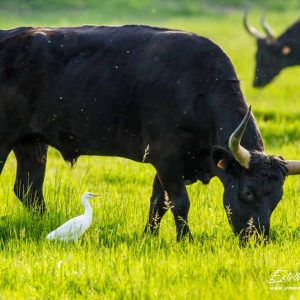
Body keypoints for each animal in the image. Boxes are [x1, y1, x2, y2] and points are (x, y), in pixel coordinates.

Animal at [0, 25, 300, 241]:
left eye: (277, 196)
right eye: (248, 192)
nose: (258, 239)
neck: (197, 89)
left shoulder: (173, 164)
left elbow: (159, 203)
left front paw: (149, 236)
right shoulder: (166, 157)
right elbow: (179, 202)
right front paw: (185, 240)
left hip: (31, 143)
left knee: (29, 189)